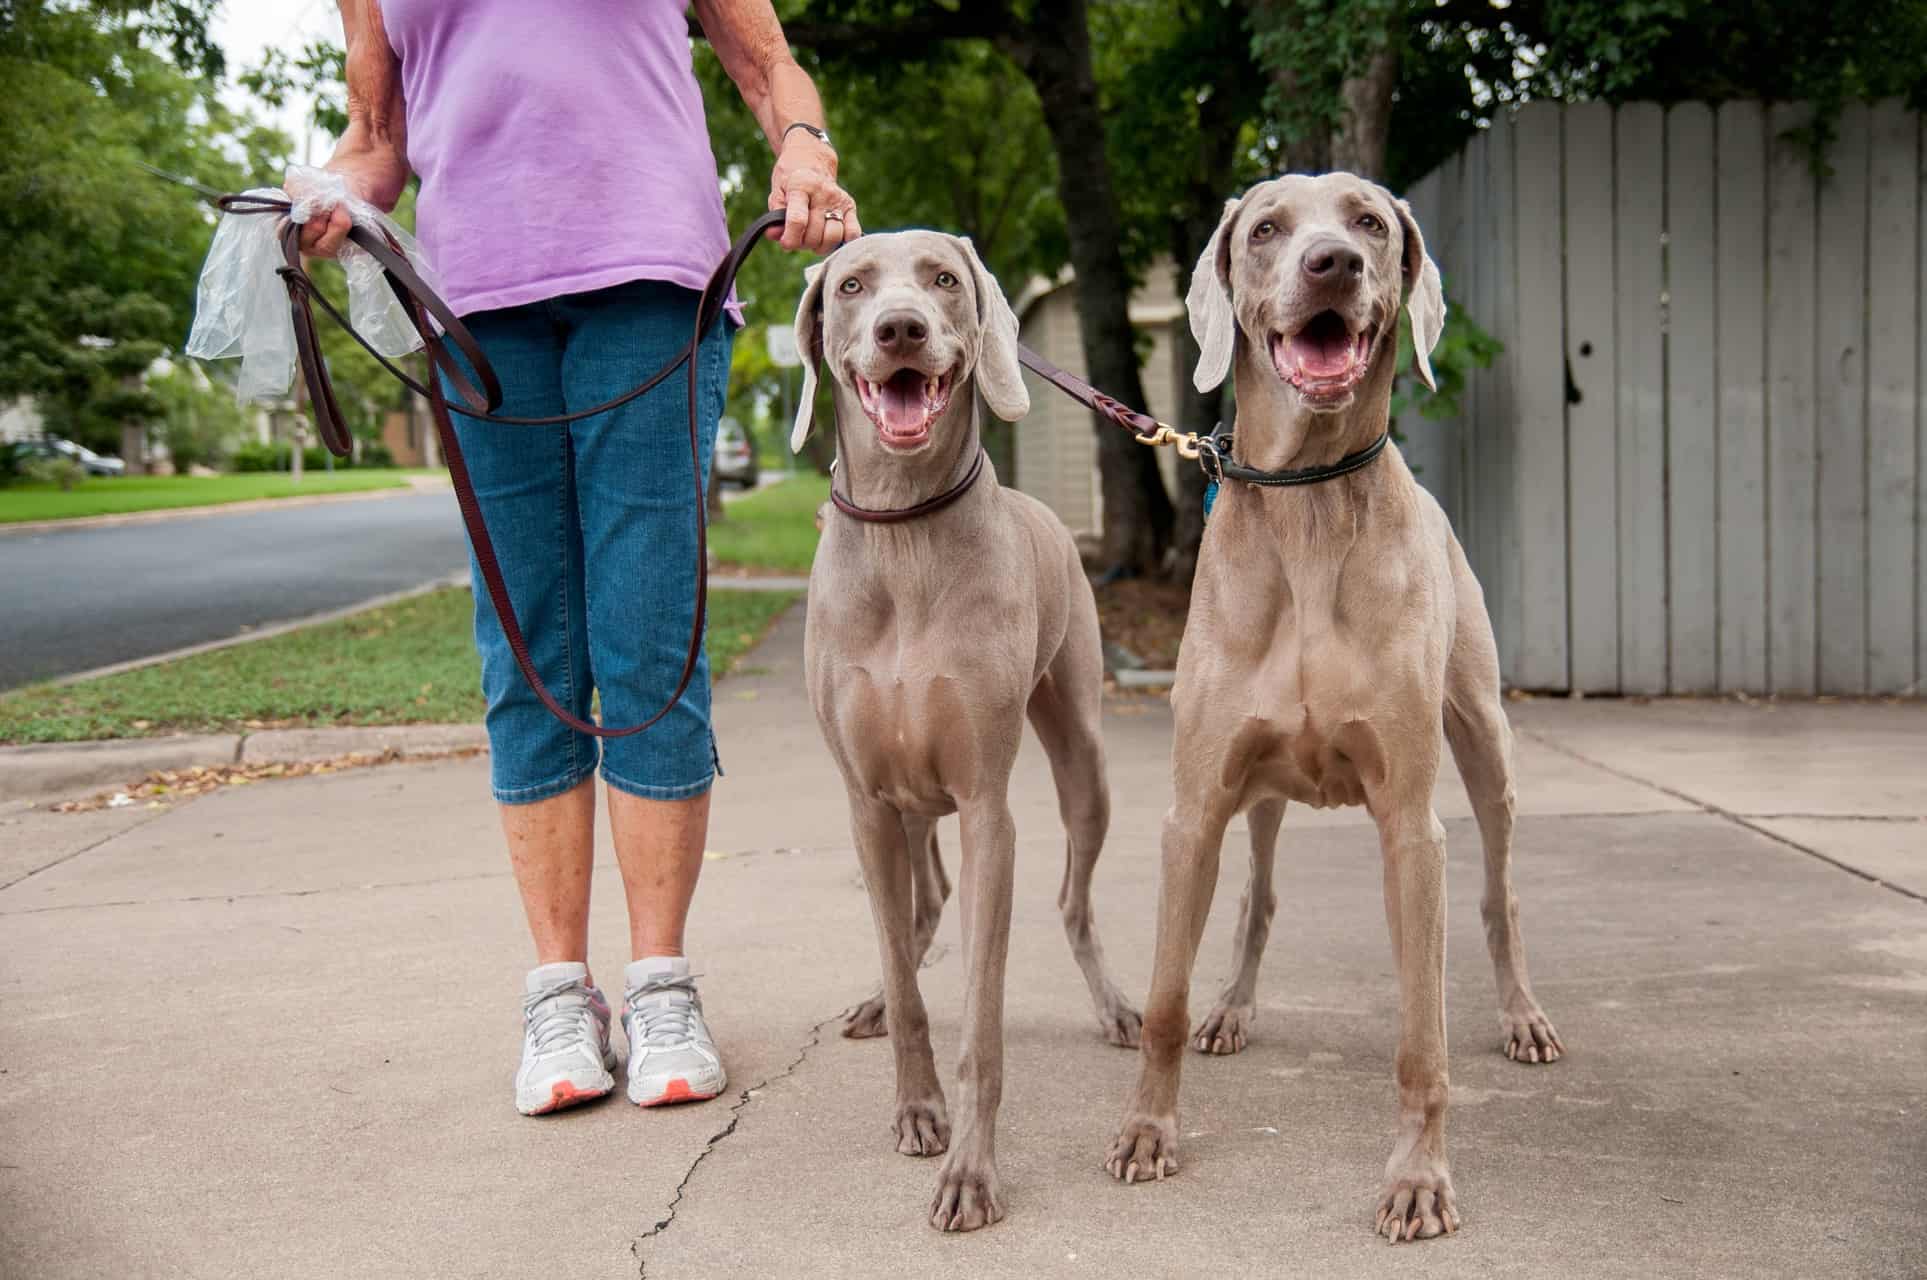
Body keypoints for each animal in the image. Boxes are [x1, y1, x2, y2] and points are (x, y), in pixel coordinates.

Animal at [793, 227, 1140, 1233]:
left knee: (1071, 901)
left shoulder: (988, 806)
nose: (900, 328)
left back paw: (1115, 1008)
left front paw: (972, 1172)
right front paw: (916, 1107)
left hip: (1081, 760)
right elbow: (910, 978)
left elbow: (982, 1018)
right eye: (851, 285)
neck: (904, 529)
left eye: (944, 279)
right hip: (907, 805)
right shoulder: (867, 802)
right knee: (917, 911)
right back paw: (876, 996)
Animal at [1102, 175, 1564, 1241]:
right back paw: (1233, 1009)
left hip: (1484, 746)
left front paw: (1419, 1180)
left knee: (1499, 893)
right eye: (1267, 227)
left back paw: (1521, 1016)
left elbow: (1421, 1036)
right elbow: (1163, 995)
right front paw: (1148, 1130)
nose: (1332, 265)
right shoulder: (1195, 809)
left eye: (1368, 222)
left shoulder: (1410, 825)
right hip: (1260, 795)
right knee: (1259, 896)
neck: (1308, 502)